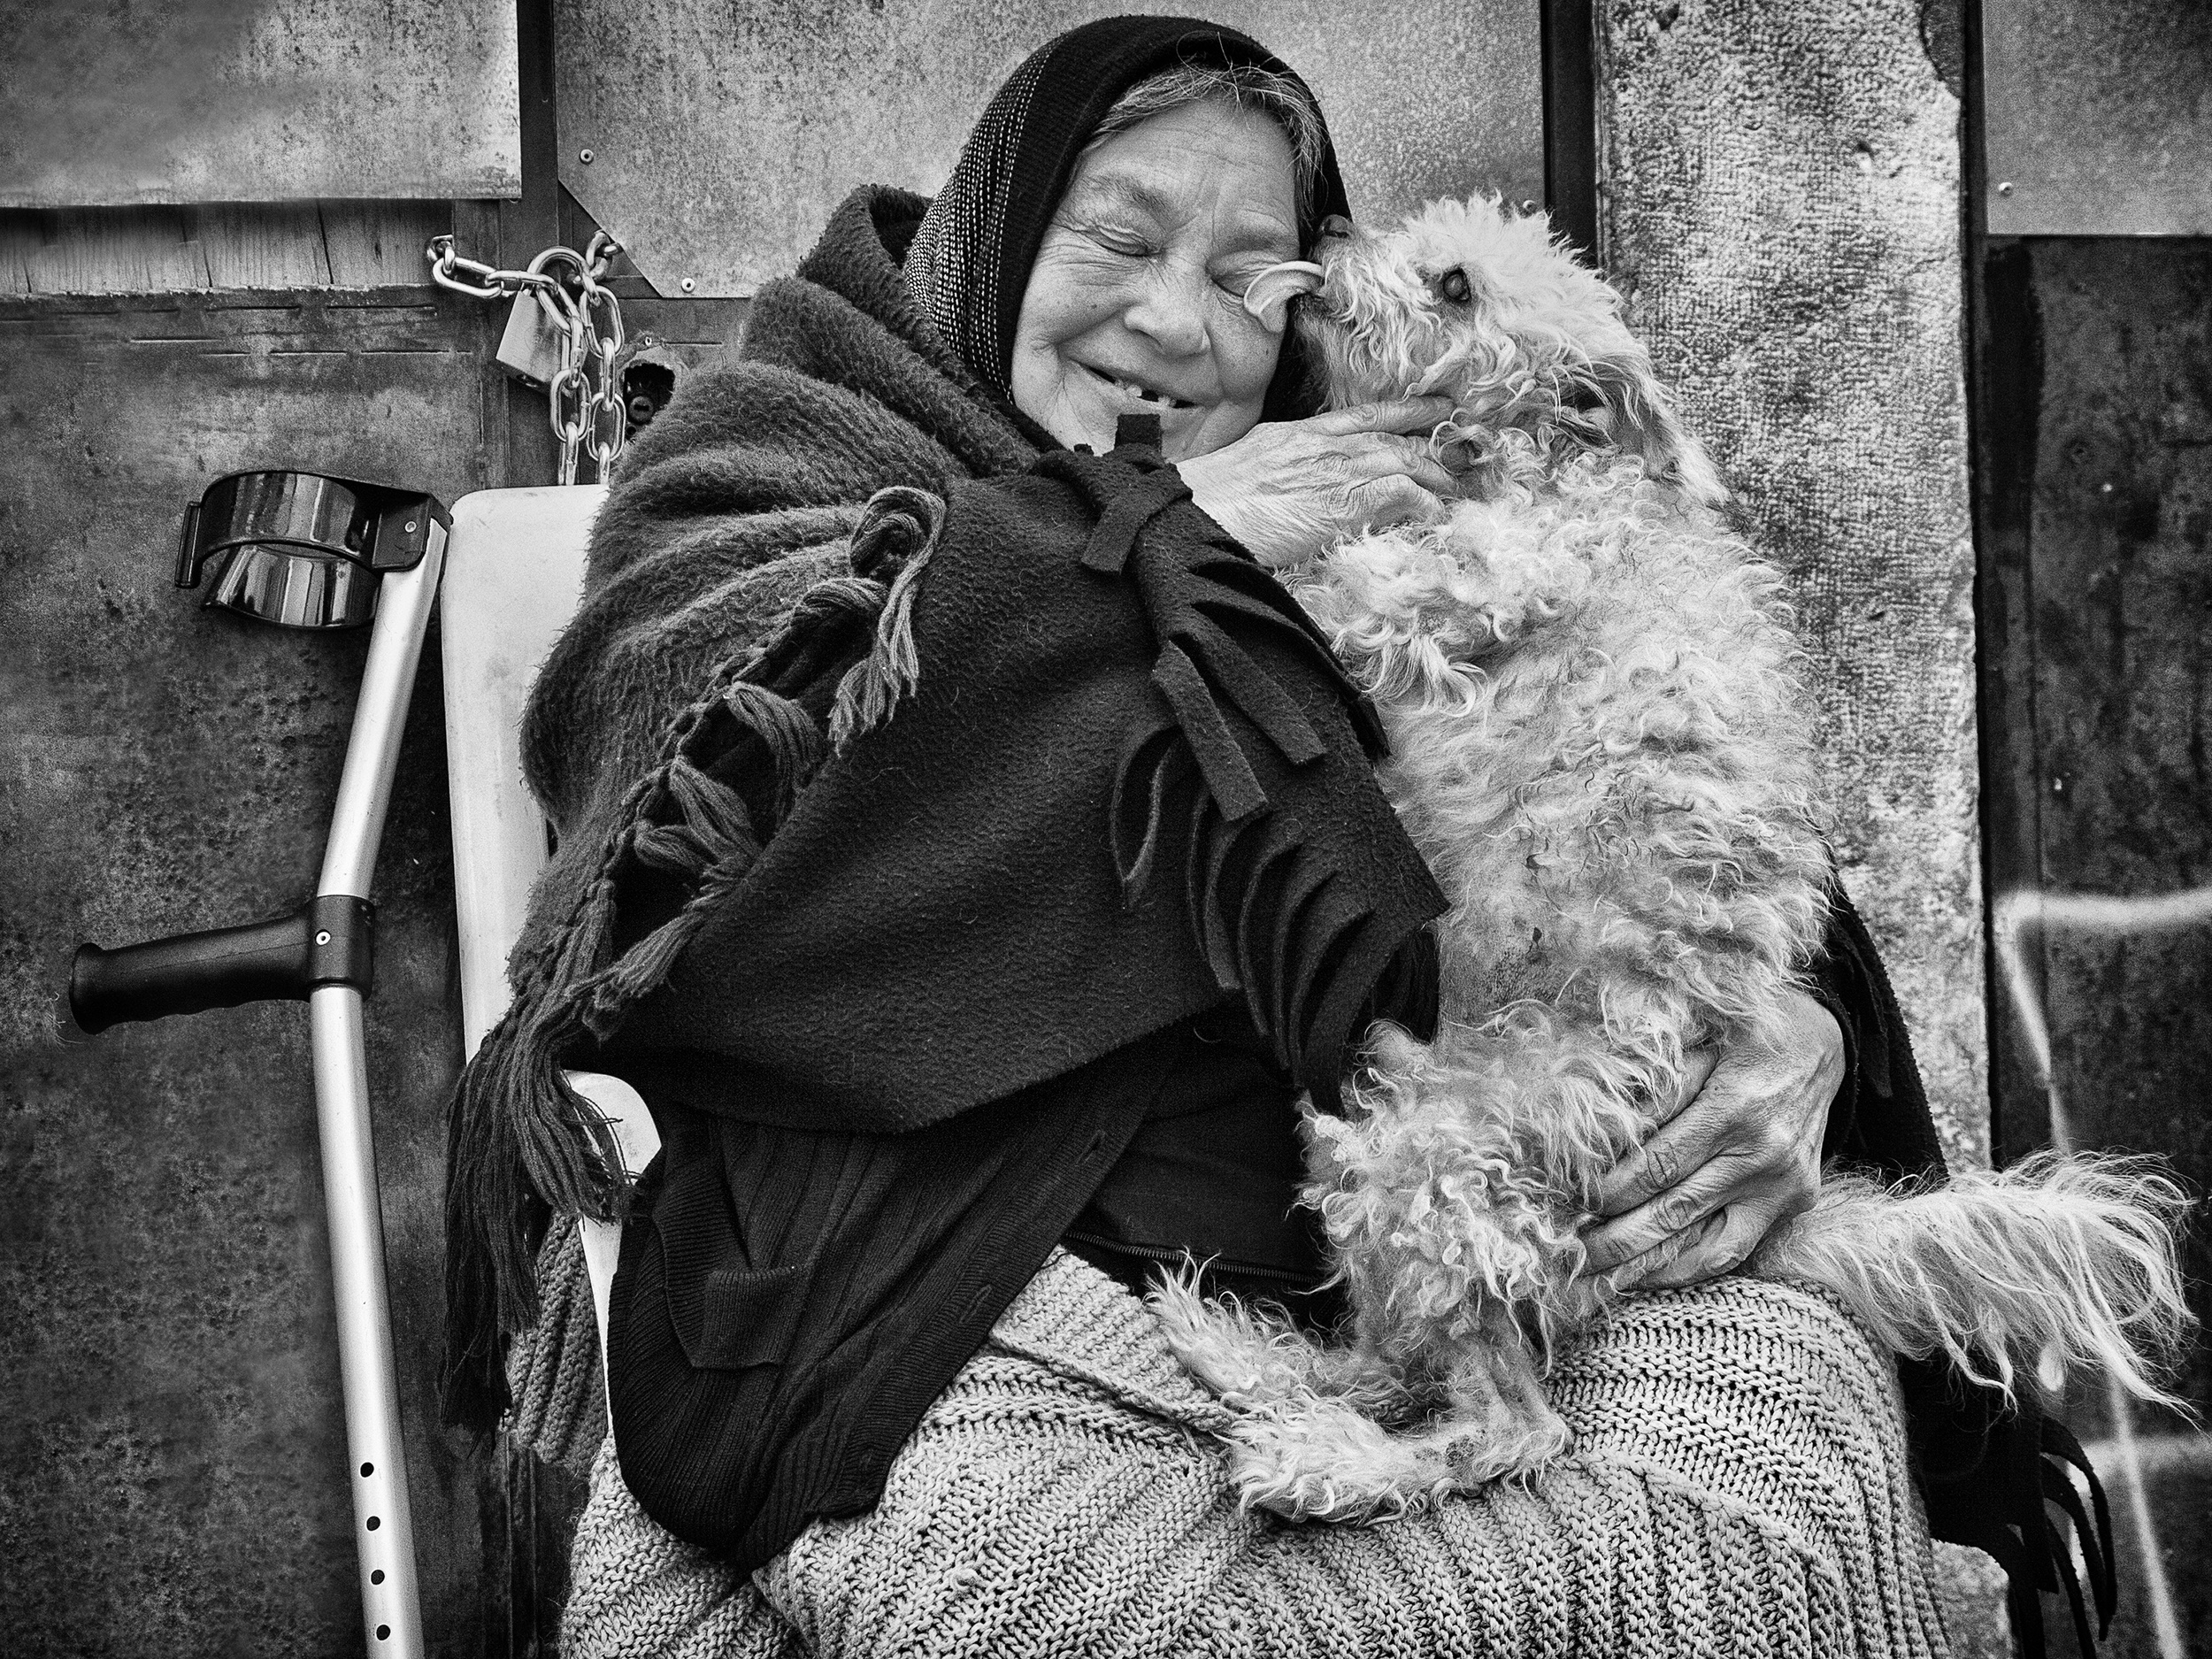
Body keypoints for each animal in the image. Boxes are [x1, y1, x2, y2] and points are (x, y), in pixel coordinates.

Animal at [1152, 195, 2194, 1522]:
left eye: (1454, 285)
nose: (1331, 227)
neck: (1542, 459)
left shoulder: (1466, 579)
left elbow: (1322, 584)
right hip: (1381, 1135)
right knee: (1405, 1357)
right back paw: (1250, 1357)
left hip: (1424, 1147)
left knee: (1511, 1422)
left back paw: (1325, 1455)